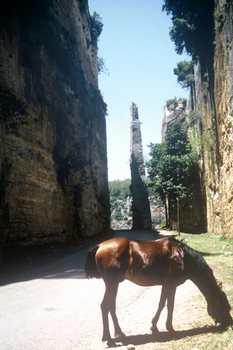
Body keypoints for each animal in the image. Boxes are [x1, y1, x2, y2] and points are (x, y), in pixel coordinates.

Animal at [85, 235, 233, 344]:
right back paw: (111, 336)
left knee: (109, 306)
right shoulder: (171, 285)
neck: (183, 257)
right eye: (226, 306)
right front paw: (170, 329)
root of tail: (100, 246)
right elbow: (169, 305)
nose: (229, 323)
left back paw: (113, 335)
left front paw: (154, 326)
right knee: (106, 306)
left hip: (113, 284)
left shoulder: (166, 285)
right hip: (112, 283)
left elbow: (162, 304)